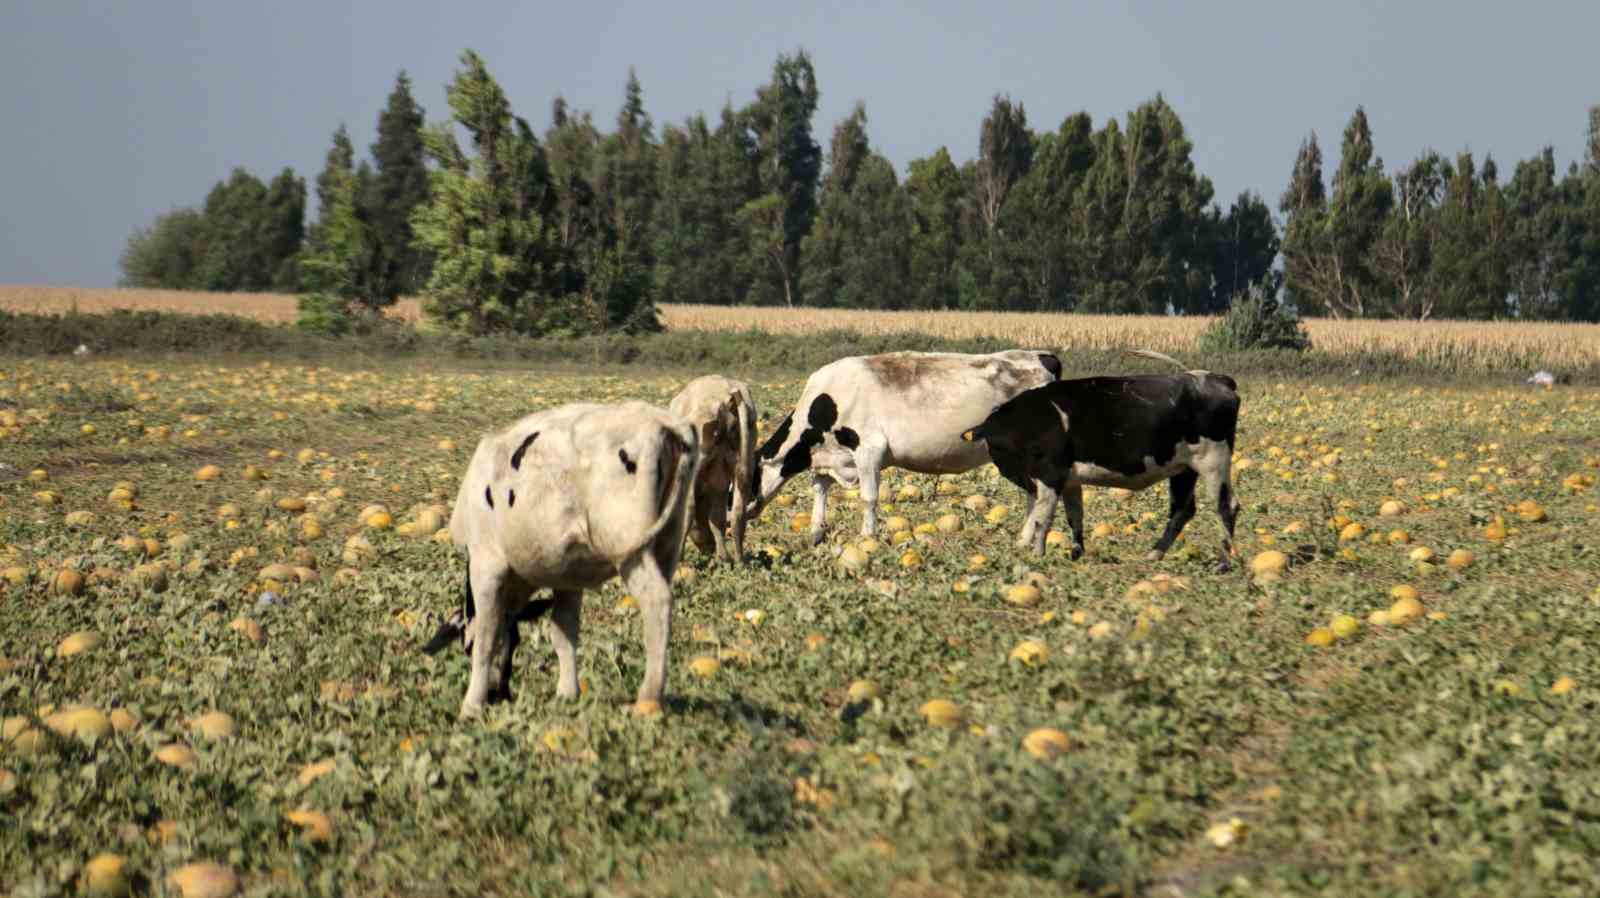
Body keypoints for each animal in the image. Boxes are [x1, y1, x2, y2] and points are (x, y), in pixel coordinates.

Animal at [422, 403, 697, 717]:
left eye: (464, 649)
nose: (497, 693)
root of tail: (666, 422)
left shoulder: (486, 563)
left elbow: (486, 635)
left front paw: (472, 704)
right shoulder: (568, 578)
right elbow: (562, 632)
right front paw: (568, 692)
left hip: (630, 550)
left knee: (657, 601)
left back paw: (649, 698)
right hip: (667, 545)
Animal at [665, 376, 758, 560]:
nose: (708, 549)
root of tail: (728, 394)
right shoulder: (720, 480)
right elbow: (718, 518)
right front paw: (723, 556)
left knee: (689, 507)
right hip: (744, 461)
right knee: (738, 512)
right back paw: (739, 560)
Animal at [748, 350, 1062, 547]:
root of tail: (1042, 356)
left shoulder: (869, 449)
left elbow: (868, 498)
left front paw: (867, 537)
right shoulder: (829, 457)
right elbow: (819, 490)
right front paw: (815, 533)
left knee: (1042, 493)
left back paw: (1026, 541)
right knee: (1036, 493)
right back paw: (1026, 540)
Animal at [953, 350, 1241, 566]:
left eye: (1003, 441)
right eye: (994, 442)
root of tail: (1216, 378)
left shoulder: (1050, 475)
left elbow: (1042, 518)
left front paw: (1038, 555)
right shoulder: (1069, 479)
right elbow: (1074, 516)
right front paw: (1076, 553)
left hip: (1214, 461)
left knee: (1226, 506)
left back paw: (1225, 561)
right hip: (1183, 468)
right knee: (1182, 509)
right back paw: (1155, 553)